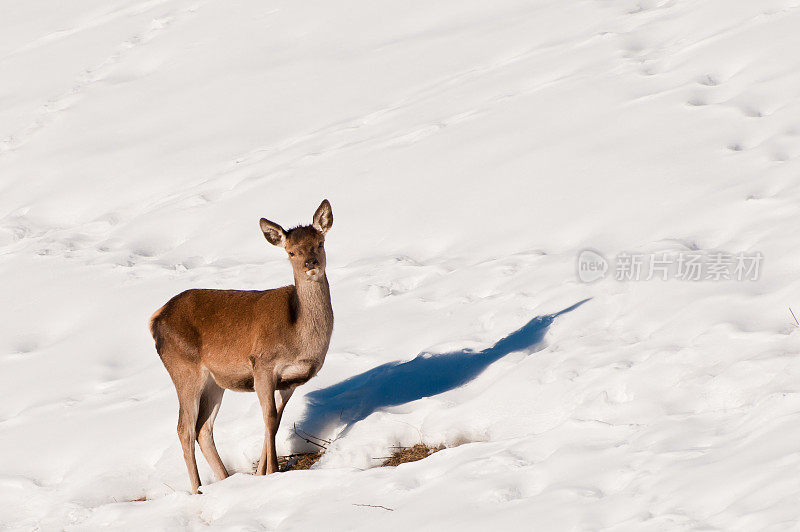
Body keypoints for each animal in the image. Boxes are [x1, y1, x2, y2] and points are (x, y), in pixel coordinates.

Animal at [148, 201, 332, 494]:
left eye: (320, 243)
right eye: (291, 251)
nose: (310, 264)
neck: (299, 338)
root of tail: (155, 319)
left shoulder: (290, 381)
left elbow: (275, 421)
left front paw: (262, 473)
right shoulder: (262, 365)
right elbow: (268, 416)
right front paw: (271, 471)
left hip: (215, 382)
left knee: (203, 427)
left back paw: (225, 480)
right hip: (184, 370)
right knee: (184, 428)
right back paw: (197, 489)